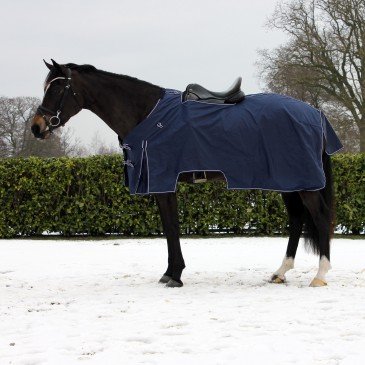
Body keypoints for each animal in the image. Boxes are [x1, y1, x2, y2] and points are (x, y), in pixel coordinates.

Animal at [31, 59, 342, 288]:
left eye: (56, 90)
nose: (37, 127)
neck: (146, 114)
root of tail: (315, 114)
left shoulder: (164, 181)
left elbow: (171, 228)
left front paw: (176, 275)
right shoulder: (160, 184)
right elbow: (169, 228)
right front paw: (170, 273)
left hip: (303, 182)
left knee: (319, 216)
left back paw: (320, 275)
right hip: (289, 181)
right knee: (297, 220)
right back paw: (281, 272)